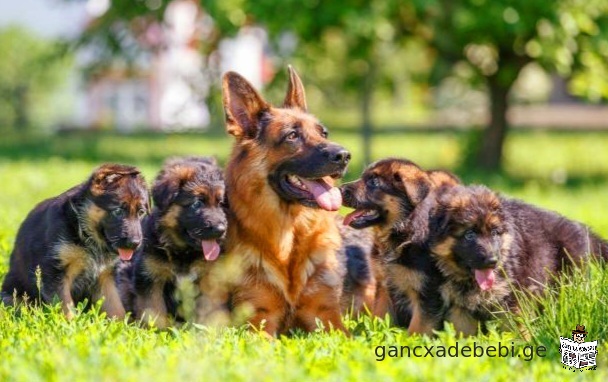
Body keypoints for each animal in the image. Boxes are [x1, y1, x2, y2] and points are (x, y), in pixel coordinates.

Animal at [1, 163, 149, 318]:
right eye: (118, 211)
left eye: (141, 212)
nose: (135, 243)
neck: (84, 231)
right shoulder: (55, 274)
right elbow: (66, 307)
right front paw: (70, 324)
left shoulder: (105, 277)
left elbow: (116, 309)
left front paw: (122, 325)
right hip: (12, 296)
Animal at [120, 157, 229, 326]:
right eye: (197, 203)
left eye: (220, 203)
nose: (220, 230)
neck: (183, 252)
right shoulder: (150, 278)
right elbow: (154, 310)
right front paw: (156, 329)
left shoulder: (209, 279)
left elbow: (208, 309)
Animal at [211, 67, 350, 336]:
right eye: (292, 136)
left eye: (323, 133)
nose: (344, 156)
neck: (290, 232)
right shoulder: (258, 321)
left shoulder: (327, 316)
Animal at [340, 158, 458, 334]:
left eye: (373, 182)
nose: (339, 190)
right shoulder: (384, 287)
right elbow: (379, 317)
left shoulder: (428, 293)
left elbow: (418, 328)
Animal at [426, 185, 608, 334]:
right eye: (469, 235)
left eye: (494, 233)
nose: (493, 261)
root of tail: (580, 227)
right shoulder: (460, 307)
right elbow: (463, 333)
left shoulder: (514, 297)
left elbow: (515, 328)